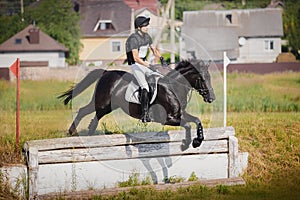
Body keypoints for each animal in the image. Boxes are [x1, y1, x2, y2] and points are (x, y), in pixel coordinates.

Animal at [57, 59, 214, 150]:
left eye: (209, 77)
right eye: (201, 78)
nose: (211, 98)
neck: (173, 87)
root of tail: (106, 72)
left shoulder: (180, 114)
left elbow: (197, 121)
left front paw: (198, 141)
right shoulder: (168, 119)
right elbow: (187, 125)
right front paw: (187, 143)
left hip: (106, 107)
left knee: (93, 116)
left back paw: (88, 134)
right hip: (102, 103)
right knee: (83, 111)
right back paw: (72, 132)